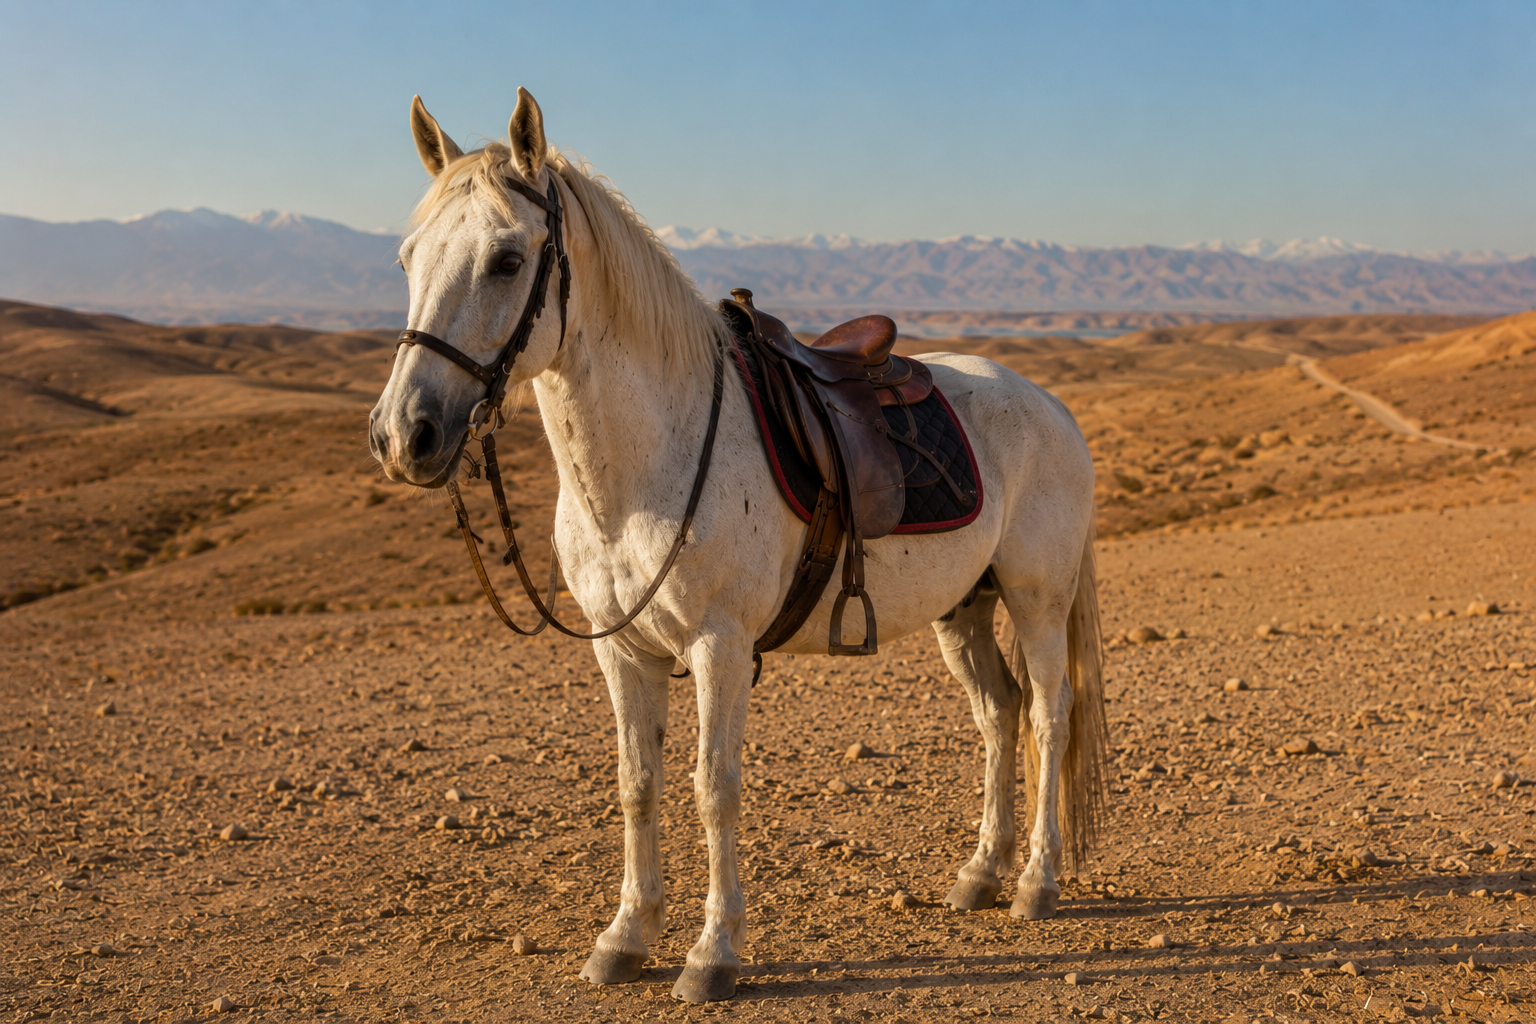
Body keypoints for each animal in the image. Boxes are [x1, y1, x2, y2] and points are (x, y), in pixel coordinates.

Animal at [368, 88, 1108, 1003]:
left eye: (507, 259)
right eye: (408, 260)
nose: (405, 435)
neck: (654, 456)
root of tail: (1050, 405)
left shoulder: (719, 645)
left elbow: (713, 788)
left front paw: (713, 952)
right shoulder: (622, 650)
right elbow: (638, 784)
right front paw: (625, 937)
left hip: (1036, 598)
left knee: (1048, 713)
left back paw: (1037, 882)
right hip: (962, 609)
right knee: (999, 714)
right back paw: (980, 873)